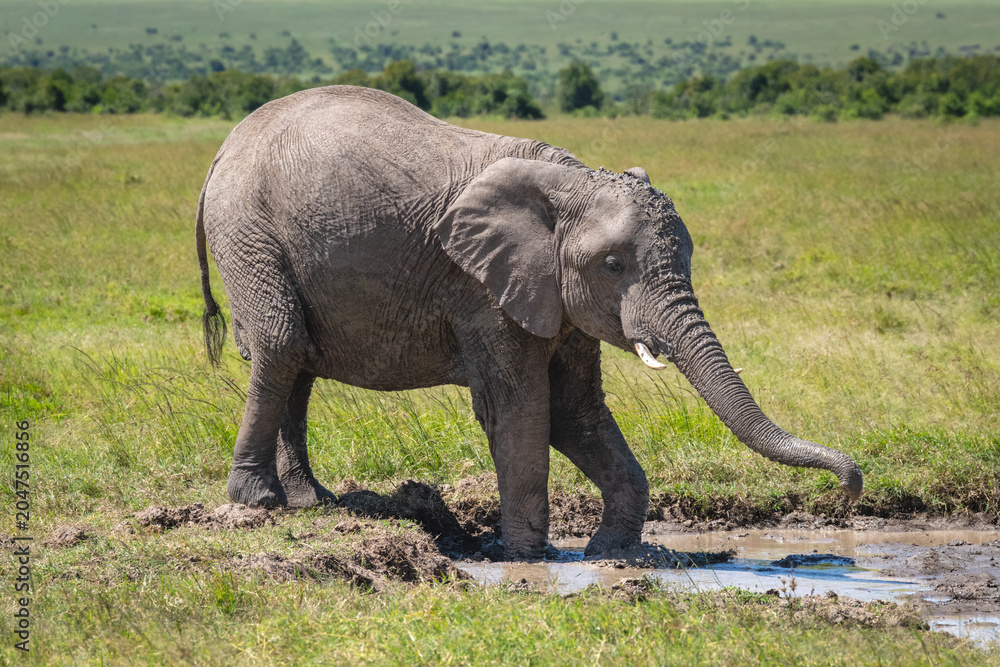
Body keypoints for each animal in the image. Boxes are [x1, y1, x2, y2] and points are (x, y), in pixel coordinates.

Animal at [196, 86, 862, 560]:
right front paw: (523, 556)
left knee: (299, 361)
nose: (850, 490)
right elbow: (520, 407)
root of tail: (225, 147)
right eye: (613, 264)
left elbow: (575, 410)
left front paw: (612, 552)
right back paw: (258, 502)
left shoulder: (555, 298)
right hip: (248, 231)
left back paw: (311, 502)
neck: (570, 182)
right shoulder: (483, 289)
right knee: (281, 344)